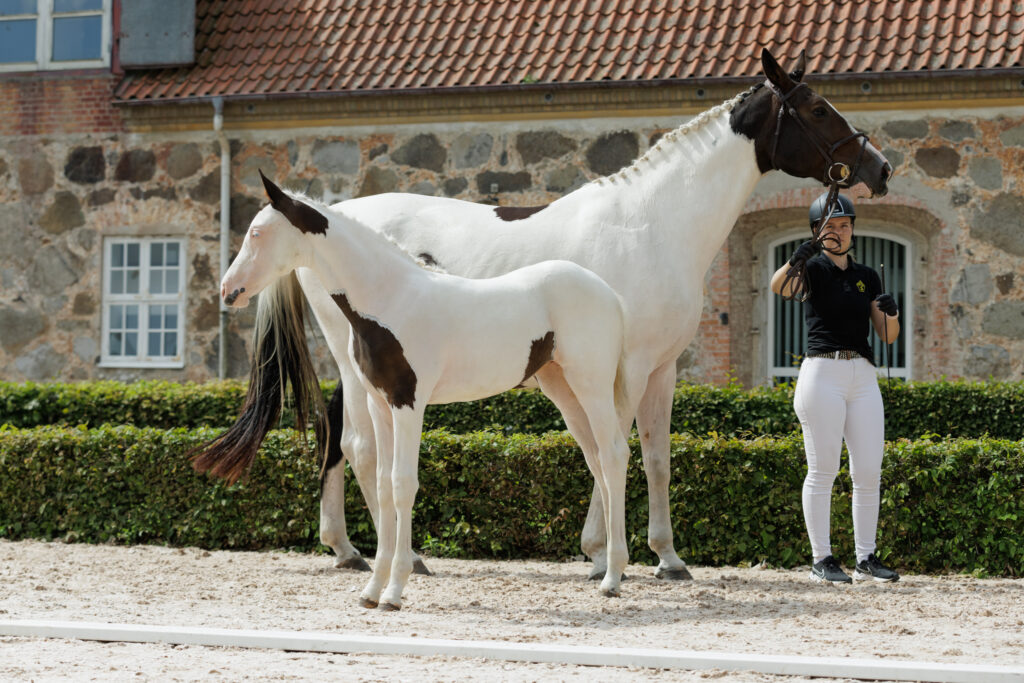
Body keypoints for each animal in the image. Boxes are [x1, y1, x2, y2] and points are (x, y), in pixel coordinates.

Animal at [197, 172, 630, 610]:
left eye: (257, 232)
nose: (228, 290)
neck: (390, 301)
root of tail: (609, 294)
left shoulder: (408, 403)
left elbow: (403, 484)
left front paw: (394, 591)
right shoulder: (380, 405)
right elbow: (383, 484)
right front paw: (372, 590)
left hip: (591, 385)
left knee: (614, 455)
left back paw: (612, 577)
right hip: (563, 389)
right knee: (596, 459)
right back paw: (606, 567)